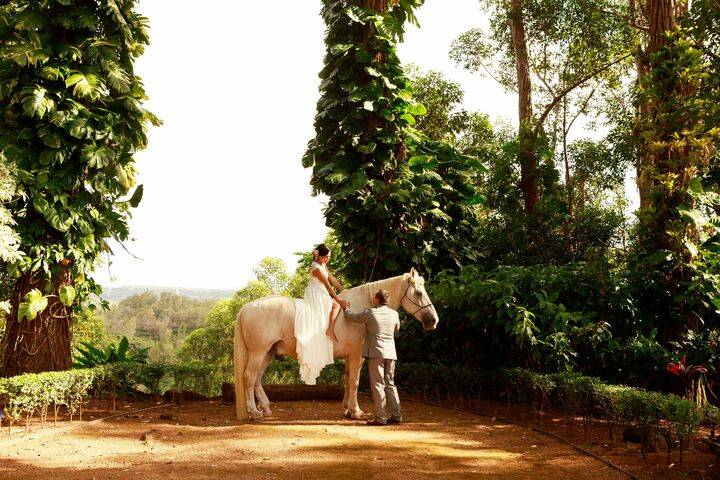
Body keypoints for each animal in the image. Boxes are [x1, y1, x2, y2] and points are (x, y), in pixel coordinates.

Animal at [235, 270, 438, 420]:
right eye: (419, 293)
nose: (433, 321)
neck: (361, 307)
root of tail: (246, 308)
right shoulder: (356, 354)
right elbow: (354, 381)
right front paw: (356, 412)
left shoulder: (350, 356)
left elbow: (348, 380)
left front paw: (347, 409)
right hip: (258, 352)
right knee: (249, 377)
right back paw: (254, 412)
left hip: (267, 353)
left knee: (257, 380)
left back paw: (265, 409)